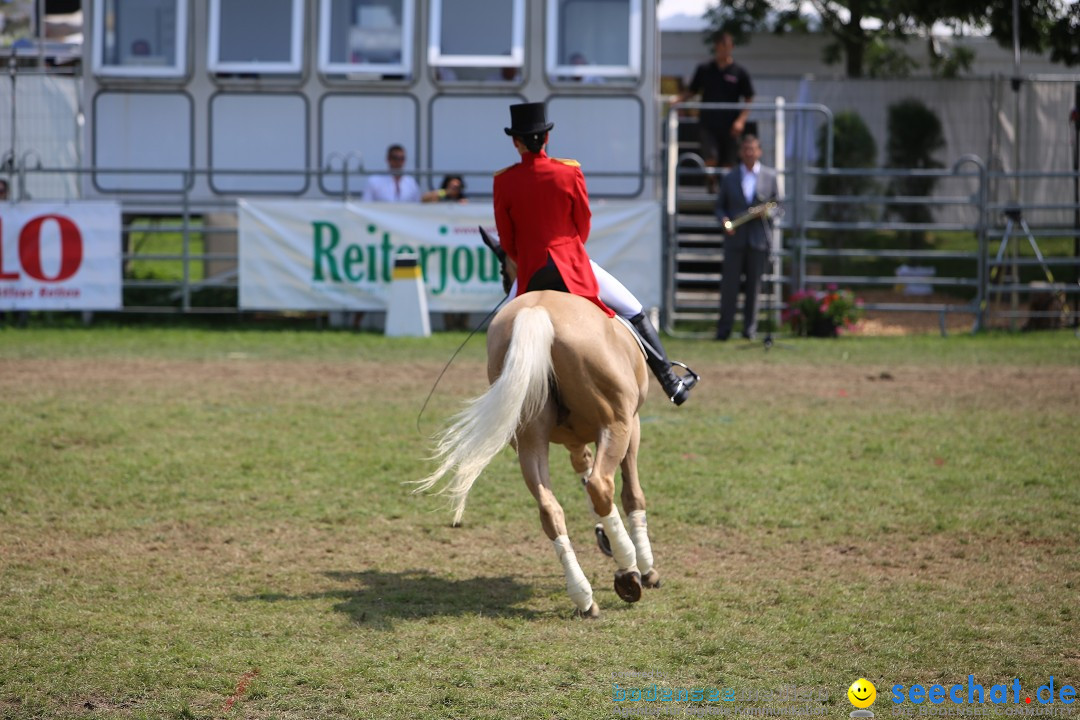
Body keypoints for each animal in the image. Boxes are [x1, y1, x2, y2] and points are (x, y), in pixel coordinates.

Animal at [414, 287, 660, 621]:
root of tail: (537, 310)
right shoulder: (631, 426)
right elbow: (631, 493)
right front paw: (646, 568)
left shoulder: (574, 440)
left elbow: (583, 472)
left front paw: (603, 533)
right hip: (615, 425)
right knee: (600, 486)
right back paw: (627, 570)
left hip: (530, 437)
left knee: (550, 508)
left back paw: (584, 597)